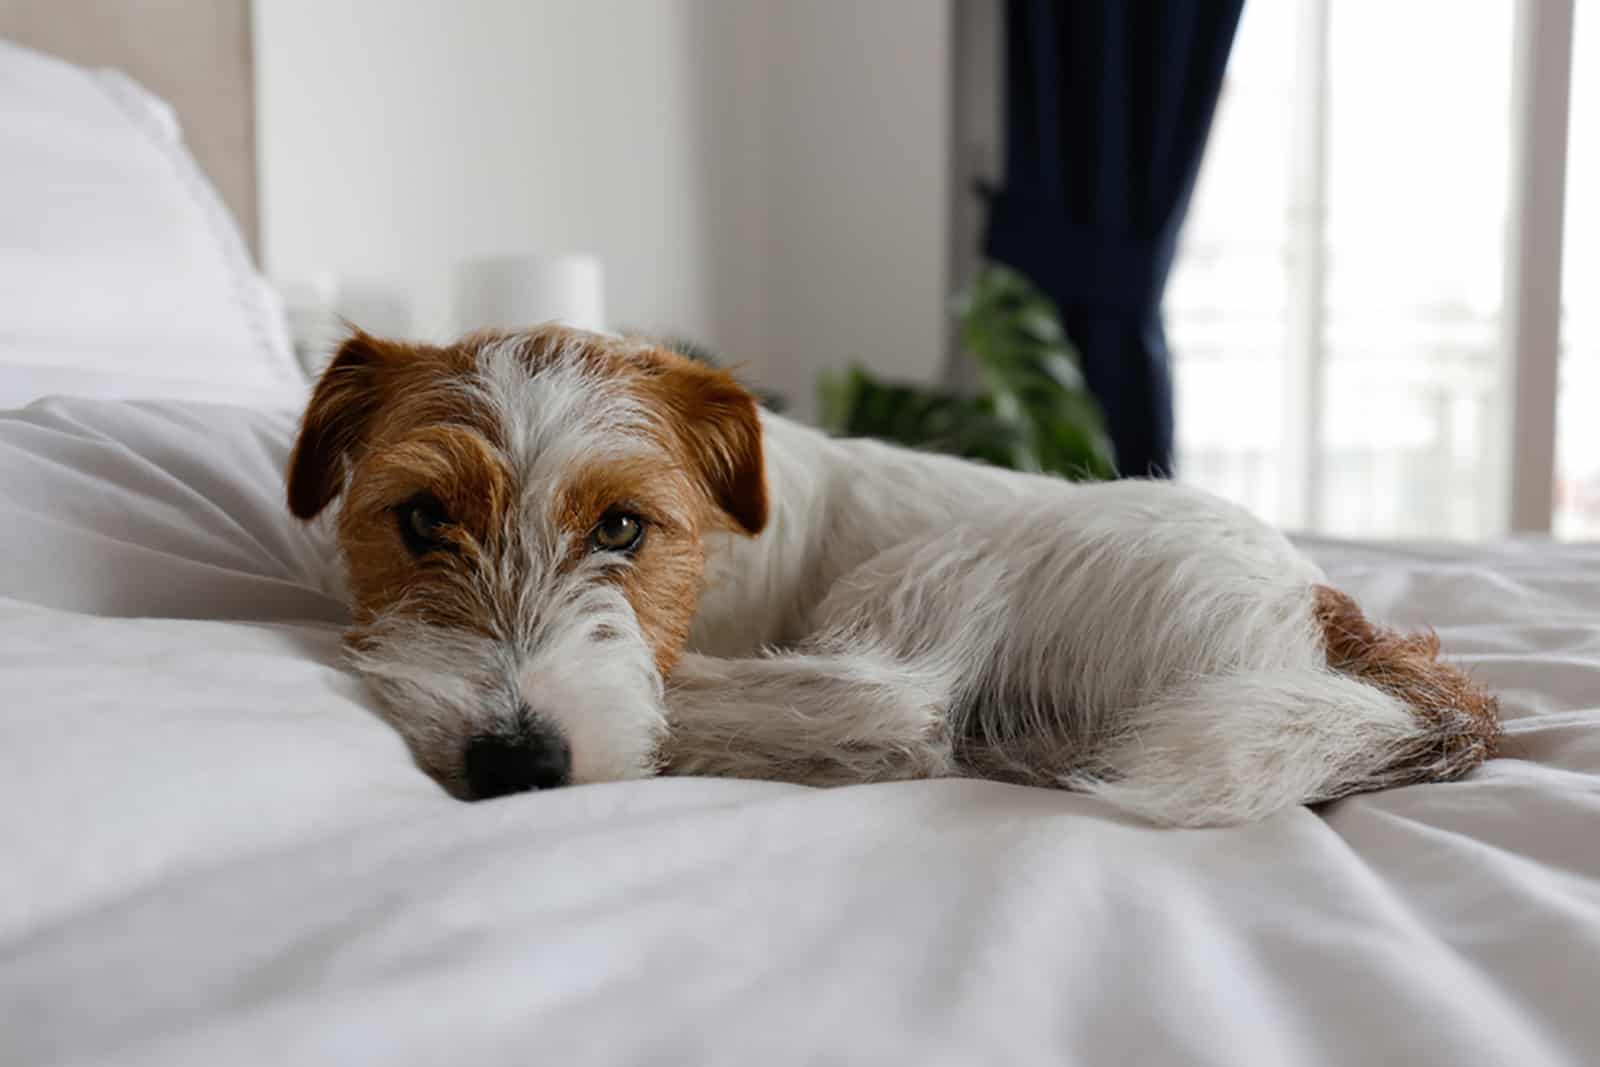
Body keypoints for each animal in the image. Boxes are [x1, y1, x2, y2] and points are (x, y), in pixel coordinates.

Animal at [288, 323, 1497, 825]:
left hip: (944, 568)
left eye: (623, 527)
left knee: (887, 718)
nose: (516, 759)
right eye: (423, 517)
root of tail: (1324, 617)